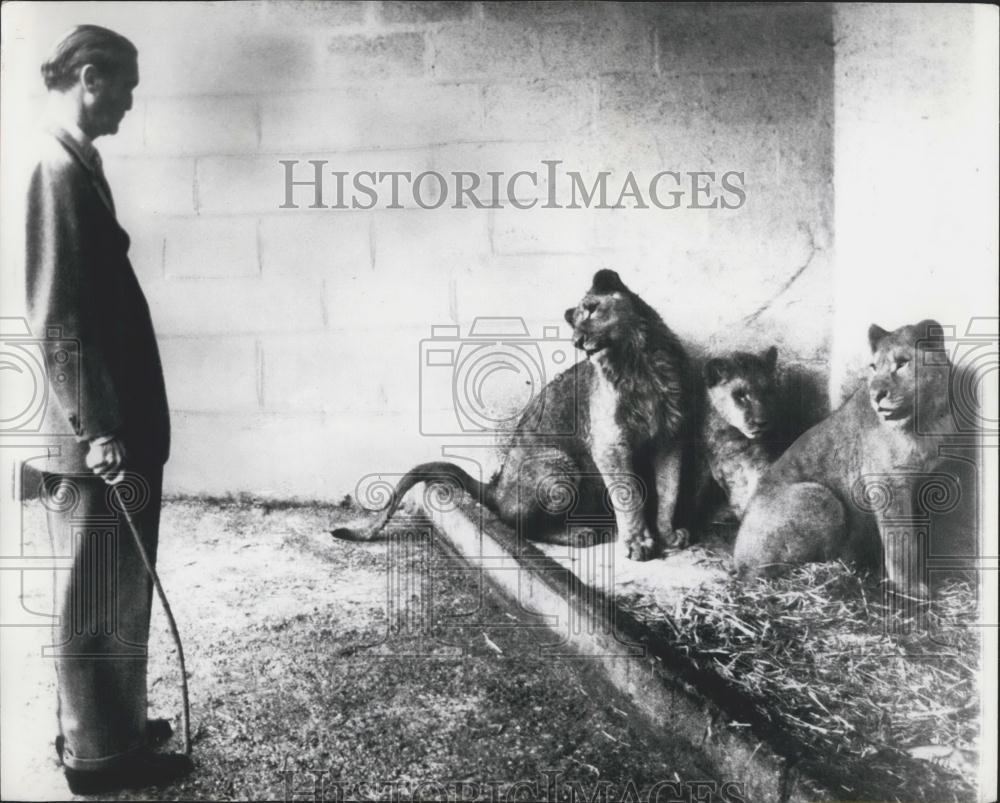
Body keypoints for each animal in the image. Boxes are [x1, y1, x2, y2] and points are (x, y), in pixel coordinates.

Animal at [334, 270, 696, 560]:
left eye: (593, 309)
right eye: (575, 326)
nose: (579, 341)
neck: (640, 365)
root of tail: (496, 486)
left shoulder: (671, 438)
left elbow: (669, 491)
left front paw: (667, 535)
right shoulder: (611, 444)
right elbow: (629, 497)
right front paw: (637, 544)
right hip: (559, 465)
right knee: (519, 526)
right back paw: (582, 534)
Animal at [736, 318, 960, 596]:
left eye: (902, 363)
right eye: (874, 367)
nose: (877, 395)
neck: (925, 421)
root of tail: (737, 561)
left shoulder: (925, 483)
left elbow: (917, 535)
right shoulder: (887, 484)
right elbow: (900, 541)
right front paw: (910, 588)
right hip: (818, 495)